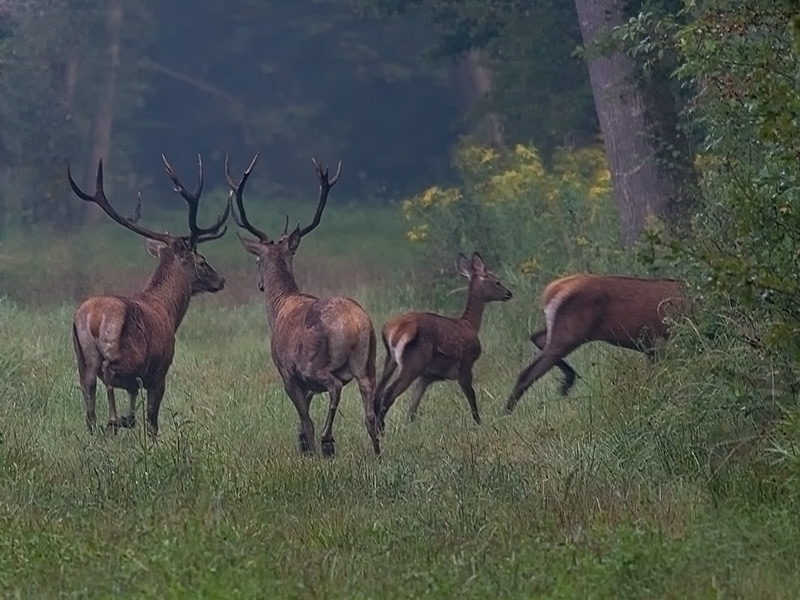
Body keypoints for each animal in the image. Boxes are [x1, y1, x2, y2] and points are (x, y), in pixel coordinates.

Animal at [67, 155, 230, 436]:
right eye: (201, 261)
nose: (220, 280)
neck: (169, 312)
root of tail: (92, 317)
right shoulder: (160, 369)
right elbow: (152, 418)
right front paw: (136, 426)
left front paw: (127, 418)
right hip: (124, 352)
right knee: (110, 373)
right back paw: (114, 418)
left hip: (82, 357)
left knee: (89, 403)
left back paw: (105, 424)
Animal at [225, 152, 382, 458]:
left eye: (257, 260)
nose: (260, 285)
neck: (279, 306)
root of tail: (355, 325)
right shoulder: (306, 386)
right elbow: (302, 420)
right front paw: (303, 446)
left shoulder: (288, 374)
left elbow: (304, 420)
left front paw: (309, 449)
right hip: (367, 363)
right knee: (370, 413)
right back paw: (378, 455)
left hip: (314, 363)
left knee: (334, 388)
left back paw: (327, 440)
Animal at [376, 253, 512, 432]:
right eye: (497, 281)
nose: (509, 294)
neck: (470, 324)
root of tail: (393, 329)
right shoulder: (466, 363)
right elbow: (471, 395)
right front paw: (478, 422)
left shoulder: (428, 375)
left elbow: (413, 405)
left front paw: (408, 426)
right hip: (414, 361)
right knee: (388, 393)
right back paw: (380, 429)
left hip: (391, 359)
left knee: (377, 391)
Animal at [506, 272, 688, 412]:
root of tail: (553, 290)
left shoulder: (654, 348)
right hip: (571, 333)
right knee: (528, 372)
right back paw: (507, 413)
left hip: (563, 331)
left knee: (536, 337)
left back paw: (567, 381)